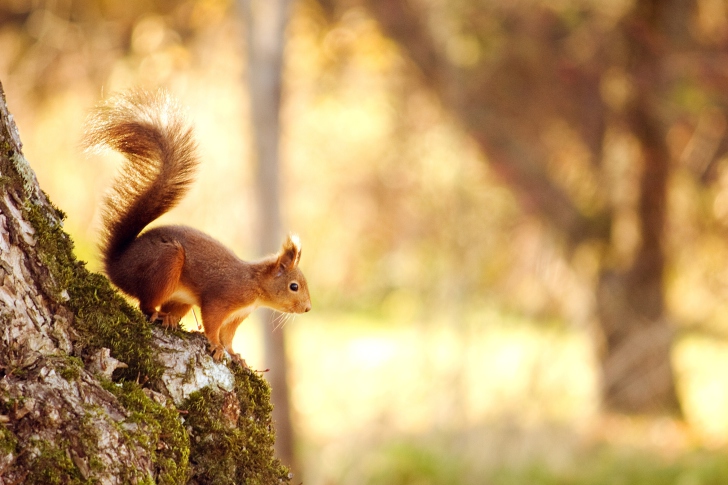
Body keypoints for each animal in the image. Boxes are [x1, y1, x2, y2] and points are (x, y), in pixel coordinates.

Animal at [84, 90, 312, 364]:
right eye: (294, 286)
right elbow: (213, 323)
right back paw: (158, 314)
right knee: (146, 305)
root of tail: (117, 265)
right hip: (165, 264)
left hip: (180, 297)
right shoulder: (222, 299)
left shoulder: (237, 315)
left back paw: (170, 318)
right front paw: (215, 346)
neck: (255, 286)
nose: (308, 308)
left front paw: (235, 355)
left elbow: (228, 335)